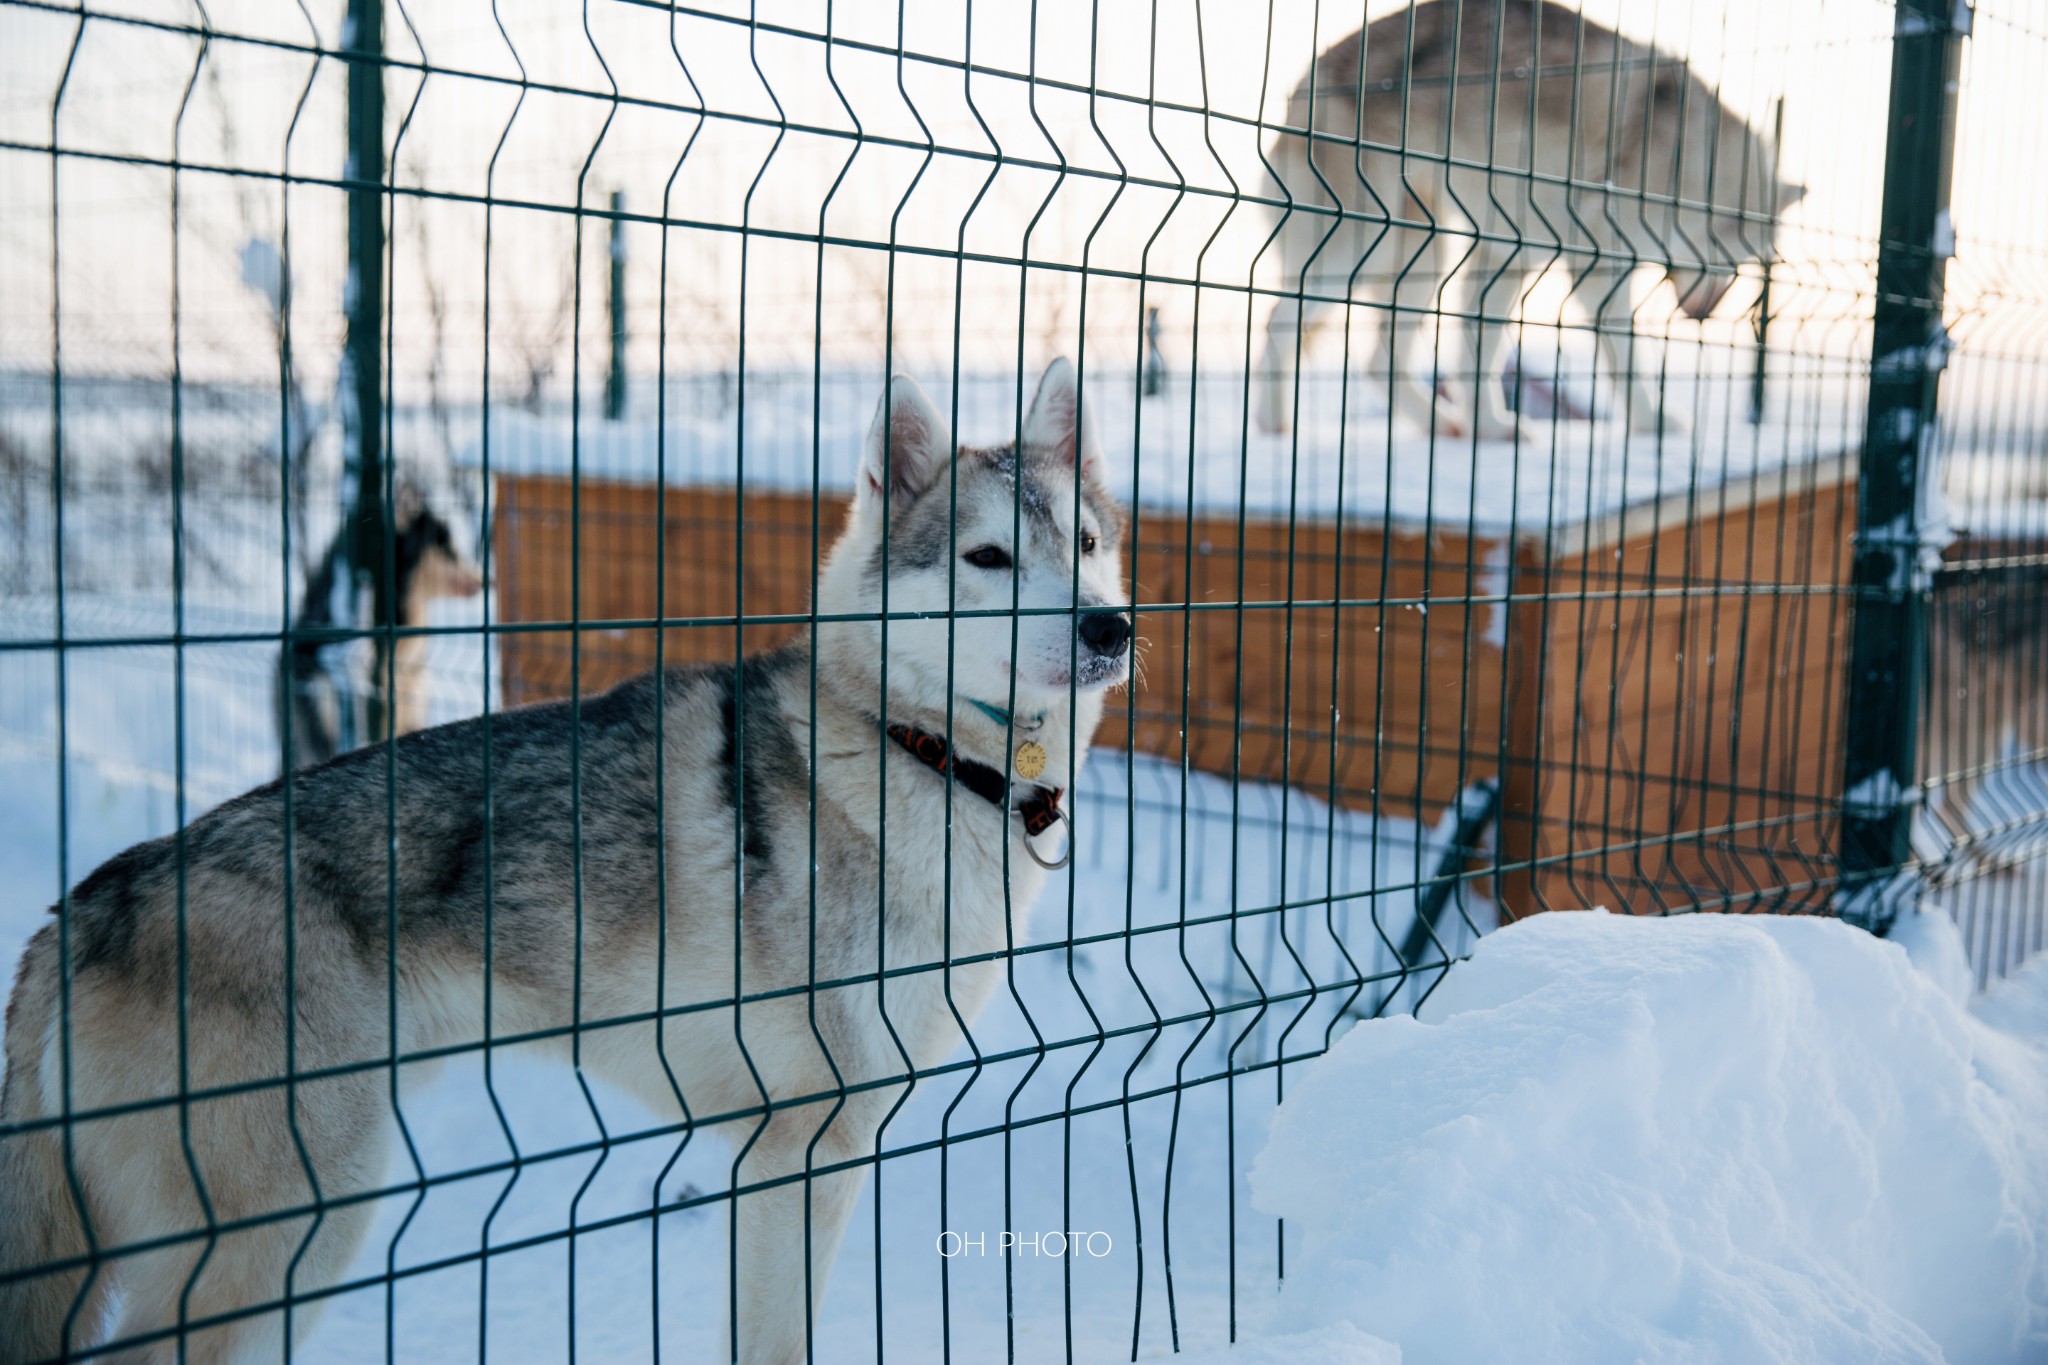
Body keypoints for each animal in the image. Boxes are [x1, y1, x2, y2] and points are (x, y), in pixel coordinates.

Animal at [0, 358, 1138, 1358]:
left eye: (1085, 544)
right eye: (987, 559)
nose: (1110, 626)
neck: (920, 751)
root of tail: (76, 914)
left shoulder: (777, 1161)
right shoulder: (801, 1150)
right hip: (289, 1242)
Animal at [1253, 0, 1802, 437]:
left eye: (1747, 264)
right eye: (1727, 257)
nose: (1704, 317)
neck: (1678, 159)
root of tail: (1302, 85)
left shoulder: (1505, 255)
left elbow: (1478, 356)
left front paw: (1490, 429)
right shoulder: (1597, 274)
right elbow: (1627, 360)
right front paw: (1652, 424)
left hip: (1423, 252)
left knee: (1379, 360)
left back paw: (1440, 425)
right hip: (1357, 249)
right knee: (1278, 323)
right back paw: (1274, 423)